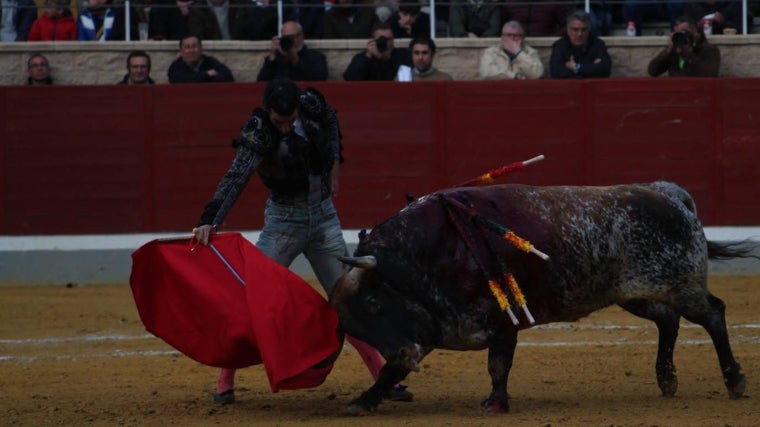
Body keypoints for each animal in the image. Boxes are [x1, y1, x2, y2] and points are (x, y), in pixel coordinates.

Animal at [332, 181, 756, 414]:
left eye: (374, 304)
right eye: (354, 327)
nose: (407, 353)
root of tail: (667, 194)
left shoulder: (500, 322)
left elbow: (498, 365)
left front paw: (495, 404)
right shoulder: (431, 328)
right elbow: (391, 370)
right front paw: (363, 401)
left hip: (681, 285)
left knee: (713, 315)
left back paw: (734, 381)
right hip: (634, 292)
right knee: (668, 320)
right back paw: (666, 378)